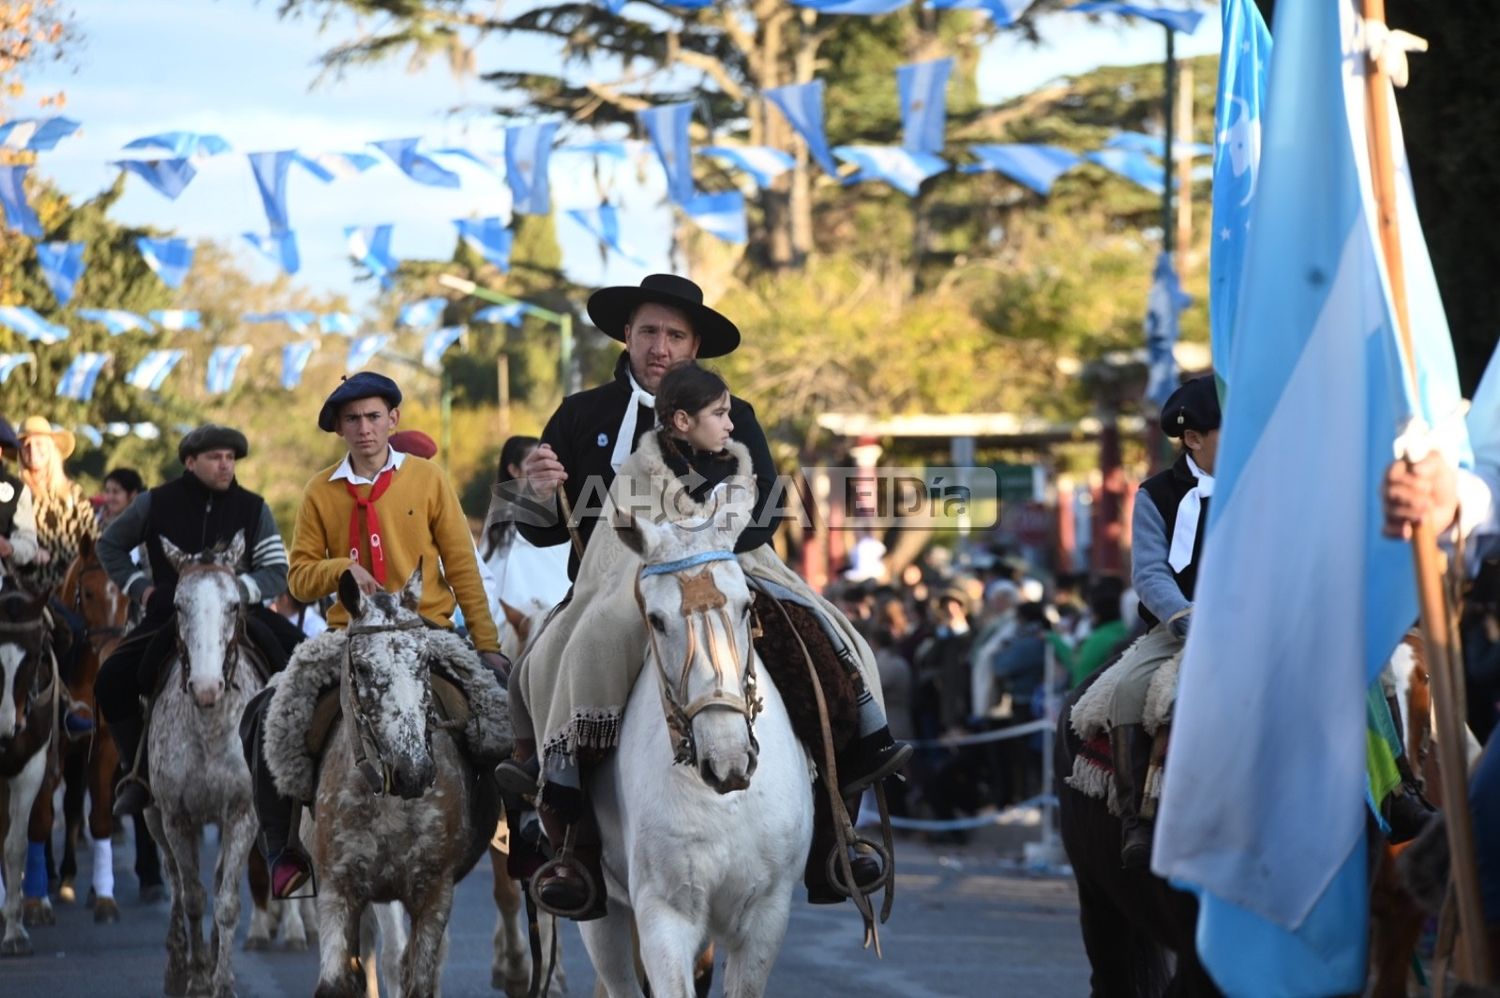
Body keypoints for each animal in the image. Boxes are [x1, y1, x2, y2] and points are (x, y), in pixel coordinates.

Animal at [143, 534, 267, 990]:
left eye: (234, 605)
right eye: (179, 606)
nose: (207, 686)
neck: (211, 724)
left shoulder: (244, 813)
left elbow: (227, 901)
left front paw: (222, 980)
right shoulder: (175, 816)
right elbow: (193, 896)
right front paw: (196, 977)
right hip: (152, 814)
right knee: (176, 882)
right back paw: (177, 964)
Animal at [576, 507, 816, 996]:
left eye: (746, 606)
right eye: (656, 620)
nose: (727, 761)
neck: (724, 800)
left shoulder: (767, 913)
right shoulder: (664, 914)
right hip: (601, 911)